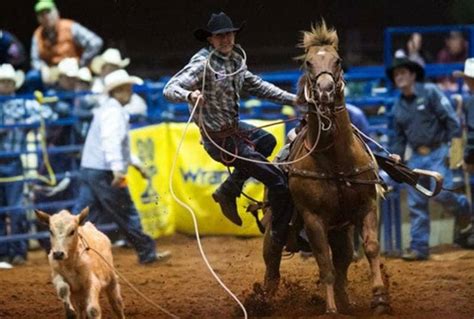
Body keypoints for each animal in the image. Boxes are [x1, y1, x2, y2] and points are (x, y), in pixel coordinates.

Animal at [262, 21, 390, 316]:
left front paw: (379, 298)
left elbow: (371, 248)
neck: (336, 161)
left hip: (340, 231)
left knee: (343, 259)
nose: (324, 91)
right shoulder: (313, 219)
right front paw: (330, 309)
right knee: (272, 265)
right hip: (276, 229)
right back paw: (263, 301)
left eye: (338, 60)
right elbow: (323, 261)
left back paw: (345, 300)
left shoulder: (366, 206)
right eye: (308, 62)